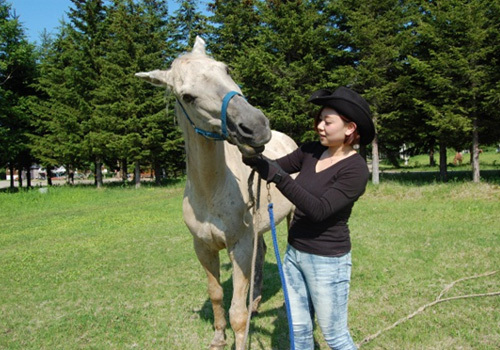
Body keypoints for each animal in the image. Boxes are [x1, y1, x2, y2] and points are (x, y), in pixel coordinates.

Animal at [135, 37, 296, 348]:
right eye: (187, 96)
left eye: (226, 69)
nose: (256, 127)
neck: (212, 191)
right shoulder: (204, 248)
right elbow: (217, 295)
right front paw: (219, 337)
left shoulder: (239, 246)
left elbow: (237, 313)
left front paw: (241, 338)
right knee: (261, 255)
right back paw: (256, 302)